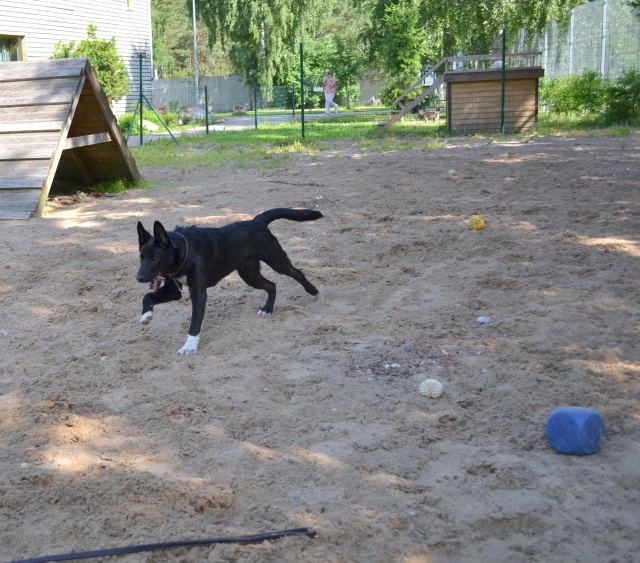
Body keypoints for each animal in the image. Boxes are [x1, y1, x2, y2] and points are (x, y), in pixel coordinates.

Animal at [136, 208, 323, 355]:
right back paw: (267, 309)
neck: (184, 252)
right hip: (249, 274)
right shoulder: (174, 291)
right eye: (141, 257)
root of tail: (257, 221)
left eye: (155, 258)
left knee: (296, 272)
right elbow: (147, 296)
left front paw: (189, 346)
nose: (139, 278)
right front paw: (146, 315)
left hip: (276, 260)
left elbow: (195, 323)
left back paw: (313, 291)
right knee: (272, 285)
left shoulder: (198, 293)